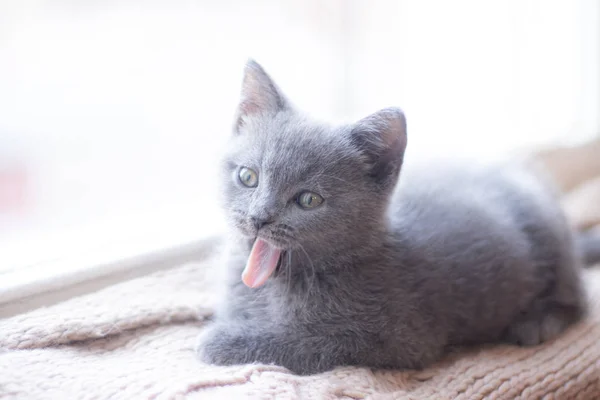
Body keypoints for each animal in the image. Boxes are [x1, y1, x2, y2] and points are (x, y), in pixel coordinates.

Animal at [198, 59, 596, 376]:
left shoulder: (401, 338)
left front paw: (221, 341)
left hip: (551, 240)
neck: (275, 287)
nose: (258, 217)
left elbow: (311, 342)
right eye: (248, 177)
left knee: (578, 299)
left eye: (308, 199)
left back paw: (537, 322)